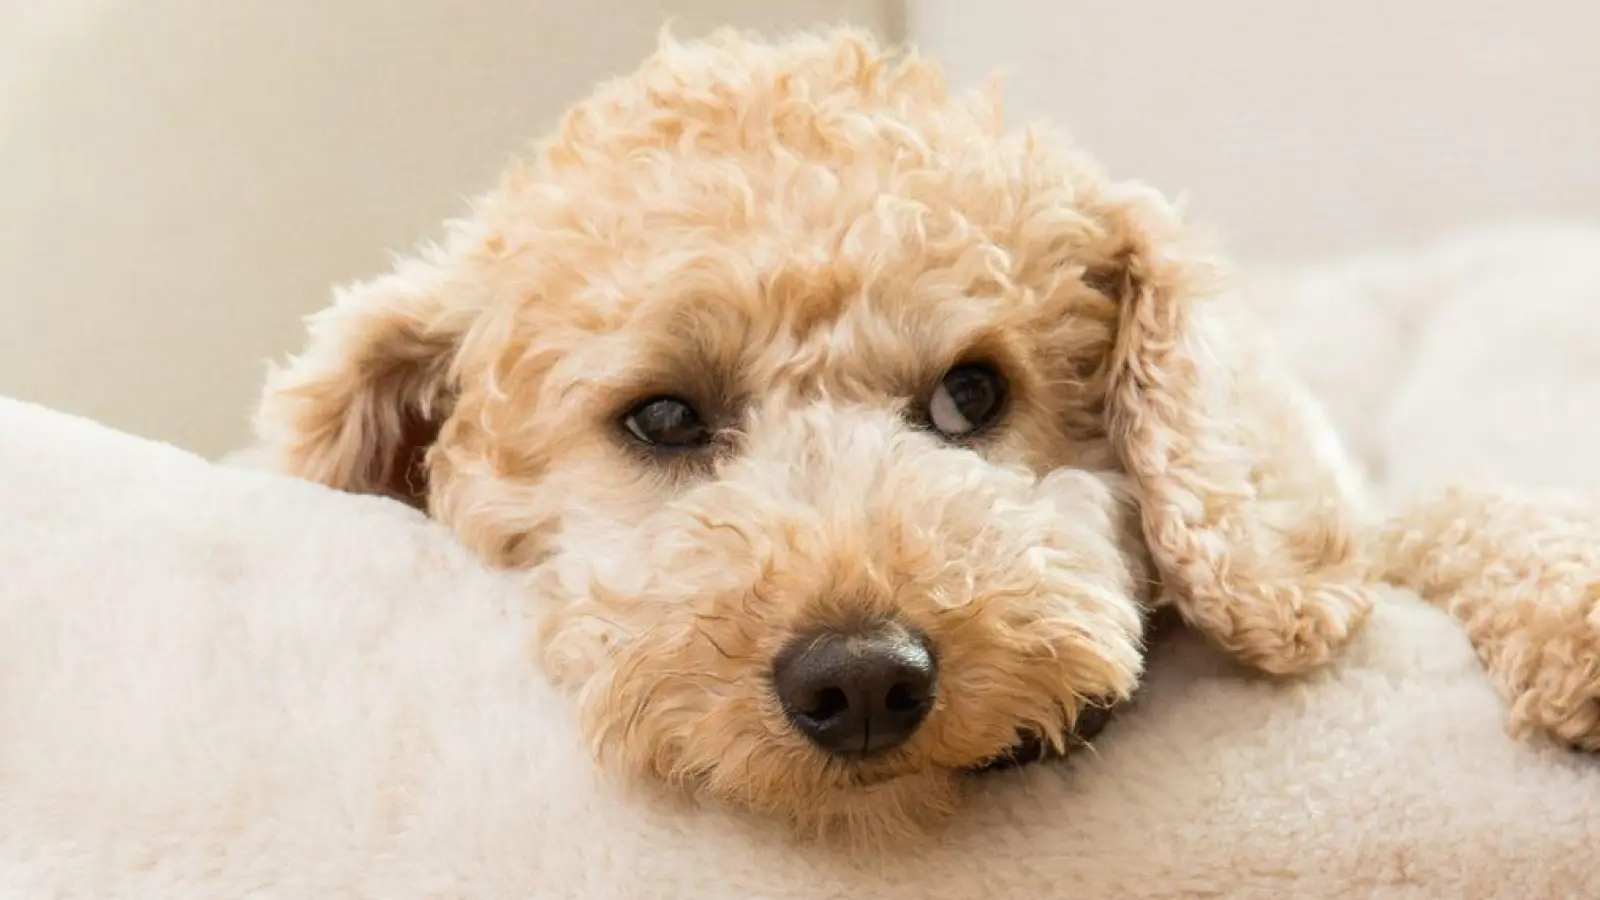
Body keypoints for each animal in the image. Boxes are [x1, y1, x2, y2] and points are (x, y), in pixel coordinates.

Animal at [256, 28, 1593, 839]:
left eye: (970, 395)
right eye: (664, 417)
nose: (859, 680)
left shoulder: (1324, 516)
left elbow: (1433, 518)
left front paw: (1568, 613)